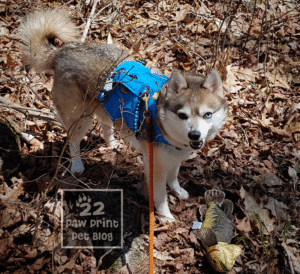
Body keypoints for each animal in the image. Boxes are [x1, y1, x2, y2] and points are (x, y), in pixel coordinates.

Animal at [18, 9, 229, 223]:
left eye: (207, 114)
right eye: (182, 115)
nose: (194, 135)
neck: (163, 125)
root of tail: (62, 52)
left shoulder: (174, 158)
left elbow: (174, 177)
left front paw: (177, 191)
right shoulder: (156, 166)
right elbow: (160, 196)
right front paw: (166, 217)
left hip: (106, 108)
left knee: (105, 127)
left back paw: (112, 144)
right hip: (81, 119)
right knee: (73, 141)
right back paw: (77, 165)